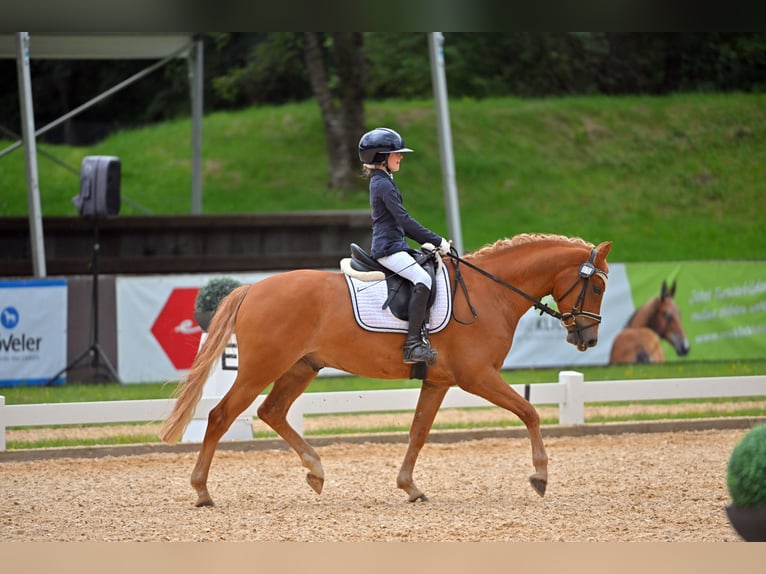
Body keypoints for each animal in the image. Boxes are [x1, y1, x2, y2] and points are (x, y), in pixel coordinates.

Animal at [160, 234, 612, 508]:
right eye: (597, 287)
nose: (587, 339)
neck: (491, 292)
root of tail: (253, 287)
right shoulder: (478, 377)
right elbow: (530, 412)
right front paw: (540, 476)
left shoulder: (438, 381)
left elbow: (418, 432)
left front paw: (410, 487)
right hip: (260, 369)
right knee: (221, 416)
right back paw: (202, 491)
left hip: (300, 367)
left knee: (272, 411)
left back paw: (316, 471)